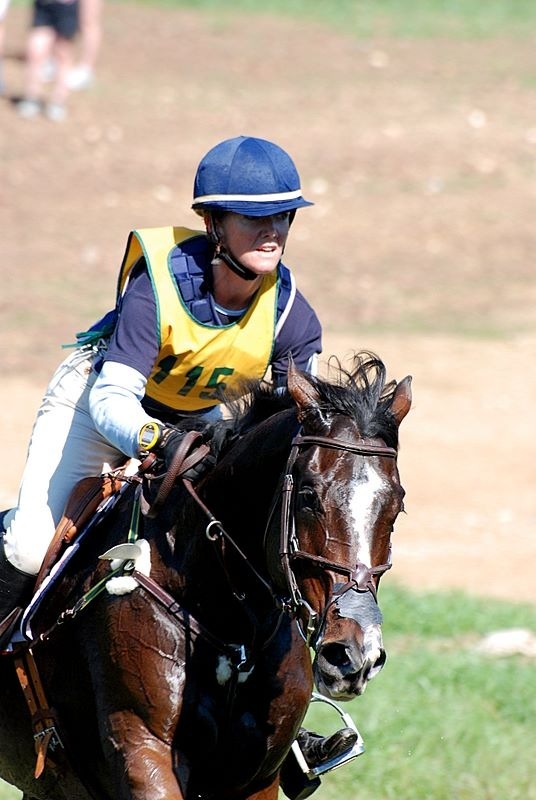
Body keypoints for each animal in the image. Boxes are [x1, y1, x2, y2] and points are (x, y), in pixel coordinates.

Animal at [0, 352, 411, 800]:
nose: (354, 656)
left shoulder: (258, 776)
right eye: (307, 496)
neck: (232, 623)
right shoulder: (143, 753)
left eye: (397, 507)